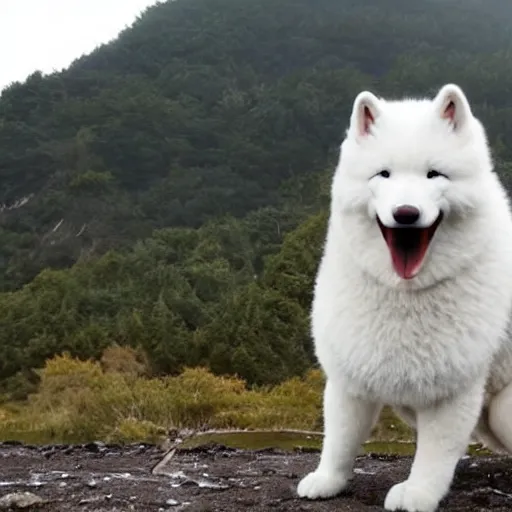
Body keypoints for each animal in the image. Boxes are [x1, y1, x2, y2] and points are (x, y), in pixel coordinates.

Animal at [296, 85, 512, 512]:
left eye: (434, 174)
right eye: (383, 174)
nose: (406, 213)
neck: (405, 293)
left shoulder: (452, 390)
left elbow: (434, 454)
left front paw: (419, 493)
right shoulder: (349, 378)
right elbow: (340, 440)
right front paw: (328, 480)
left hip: (504, 410)